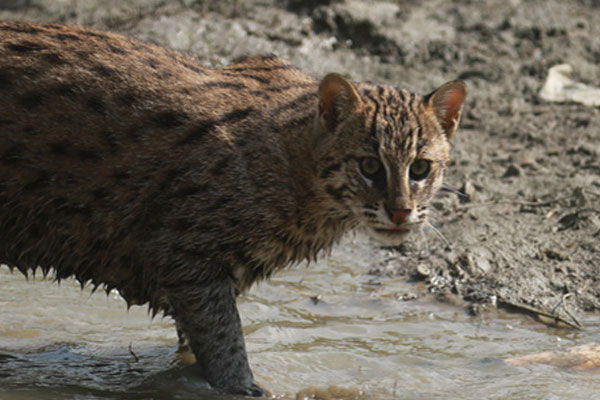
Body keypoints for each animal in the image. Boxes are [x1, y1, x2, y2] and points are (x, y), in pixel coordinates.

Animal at [0, 21, 466, 394]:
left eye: (420, 168)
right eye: (369, 166)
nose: (401, 212)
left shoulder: (199, 276)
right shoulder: (186, 257)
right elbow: (225, 343)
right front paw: (246, 388)